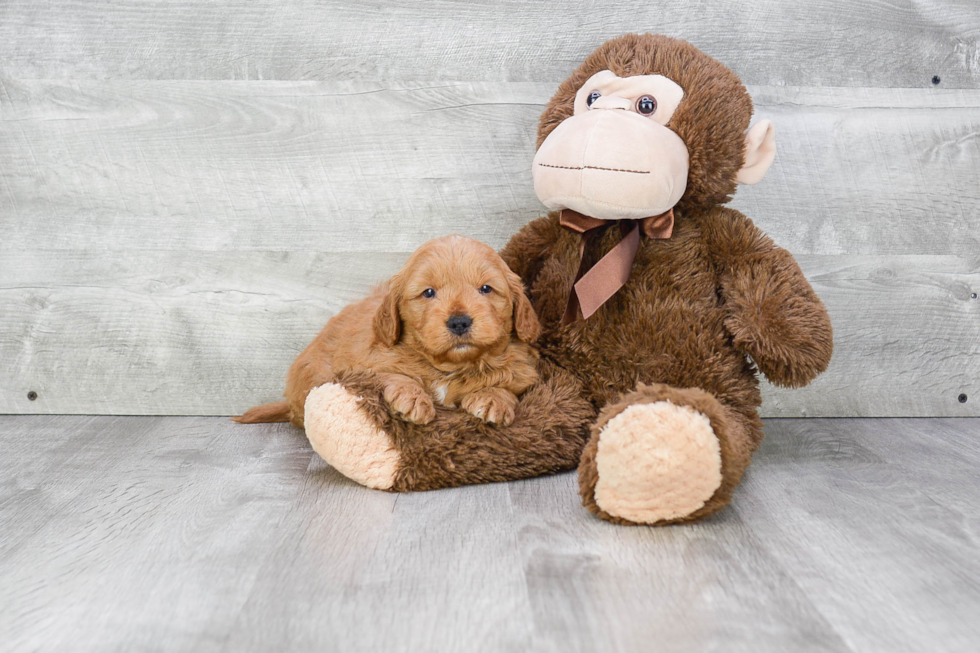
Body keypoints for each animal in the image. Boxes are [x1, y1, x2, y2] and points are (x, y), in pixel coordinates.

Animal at [237, 234, 544, 428]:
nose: (459, 322)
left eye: (486, 289)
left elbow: (507, 384)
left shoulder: (523, 371)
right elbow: (393, 375)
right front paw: (413, 398)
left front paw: (493, 399)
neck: (448, 368)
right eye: (428, 293)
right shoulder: (366, 364)